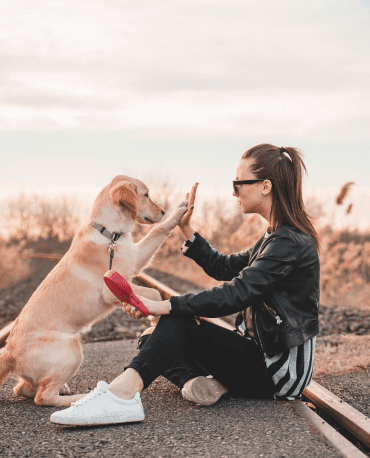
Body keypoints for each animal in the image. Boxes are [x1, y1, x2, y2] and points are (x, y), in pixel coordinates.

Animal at [0, 174, 188, 406]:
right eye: (146, 195)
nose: (162, 211)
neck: (110, 235)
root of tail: (9, 353)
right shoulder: (112, 286)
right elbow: (153, 292)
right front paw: (149, 315)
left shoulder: (135, 260)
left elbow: (158, 230)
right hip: (72, 349)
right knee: (43, 397)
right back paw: (81, 398)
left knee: (23, 389)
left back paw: (63, 389)